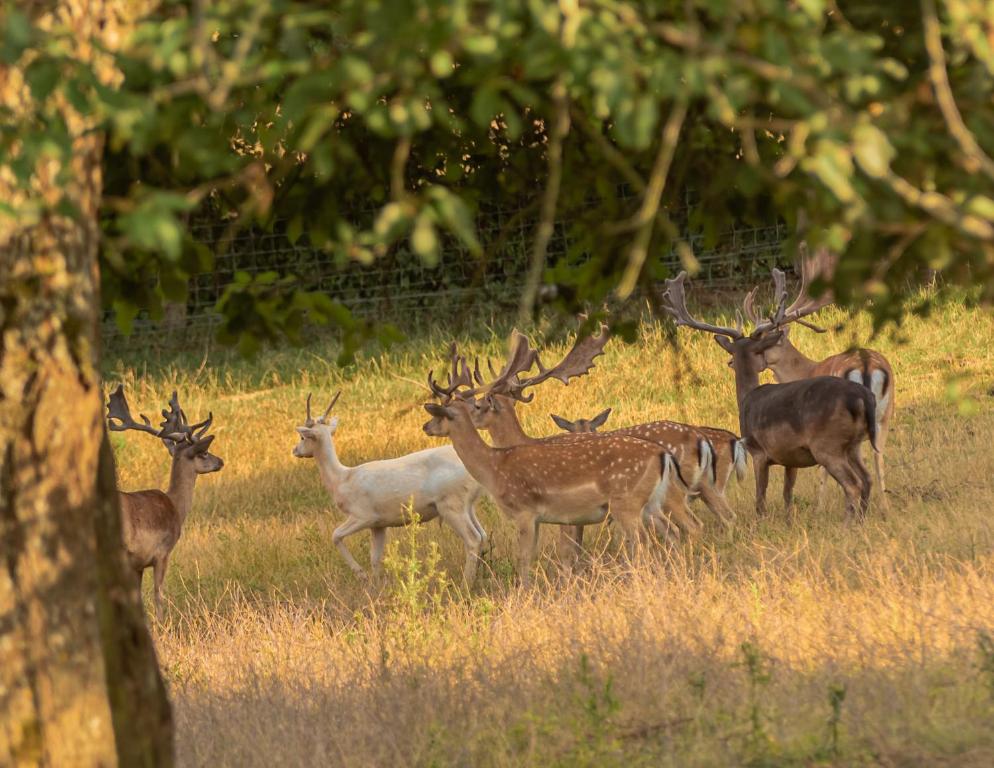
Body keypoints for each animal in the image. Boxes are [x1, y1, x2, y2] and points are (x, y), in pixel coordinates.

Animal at [108, 388, 225, 620]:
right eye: (204, 452)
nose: (221, 461)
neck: (176, 506)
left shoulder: (138, 564)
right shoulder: (162, 552)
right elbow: (158, 595)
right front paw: (162, 623)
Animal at [288, 392, 486, 584]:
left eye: (303, 437)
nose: (295, 450)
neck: (342, 479)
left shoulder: (363, 516)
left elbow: (335, 535)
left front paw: (361, 575)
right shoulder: (379, 525)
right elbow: (375, 558)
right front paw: (375, 586)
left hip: (451, 505)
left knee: (473, 539)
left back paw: (466, 583)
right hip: (467, 506)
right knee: (482, 534)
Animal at [422, 352, 680, 584]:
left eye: (440, 414)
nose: (426, 426)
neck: (494, 467)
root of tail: (661, 453)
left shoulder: (525, 511)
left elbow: (525, 559)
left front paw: (525, 593)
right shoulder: (543, 519)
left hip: (626, 502)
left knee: (642, 542)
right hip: (651, 502)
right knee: (672, 531)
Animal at [660, 268, 876, 520]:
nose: (729, 362)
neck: (746, 398)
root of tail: (861, 398)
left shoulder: (759, 452)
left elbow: (760, 498)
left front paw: (761, 519)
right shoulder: (790, 457)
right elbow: (787, 495)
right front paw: (789, 520)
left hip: (827, 445)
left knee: (853, 484)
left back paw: (848, 522)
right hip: (853, 445)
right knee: (867, 478)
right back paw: (861, 520)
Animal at [740, 246, 896, 510]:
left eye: (763, 342)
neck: (807, 369)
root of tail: (867, 364)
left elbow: (822, 466)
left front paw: (819, 505)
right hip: (885, 412)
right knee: (878, 453)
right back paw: (885, 507)